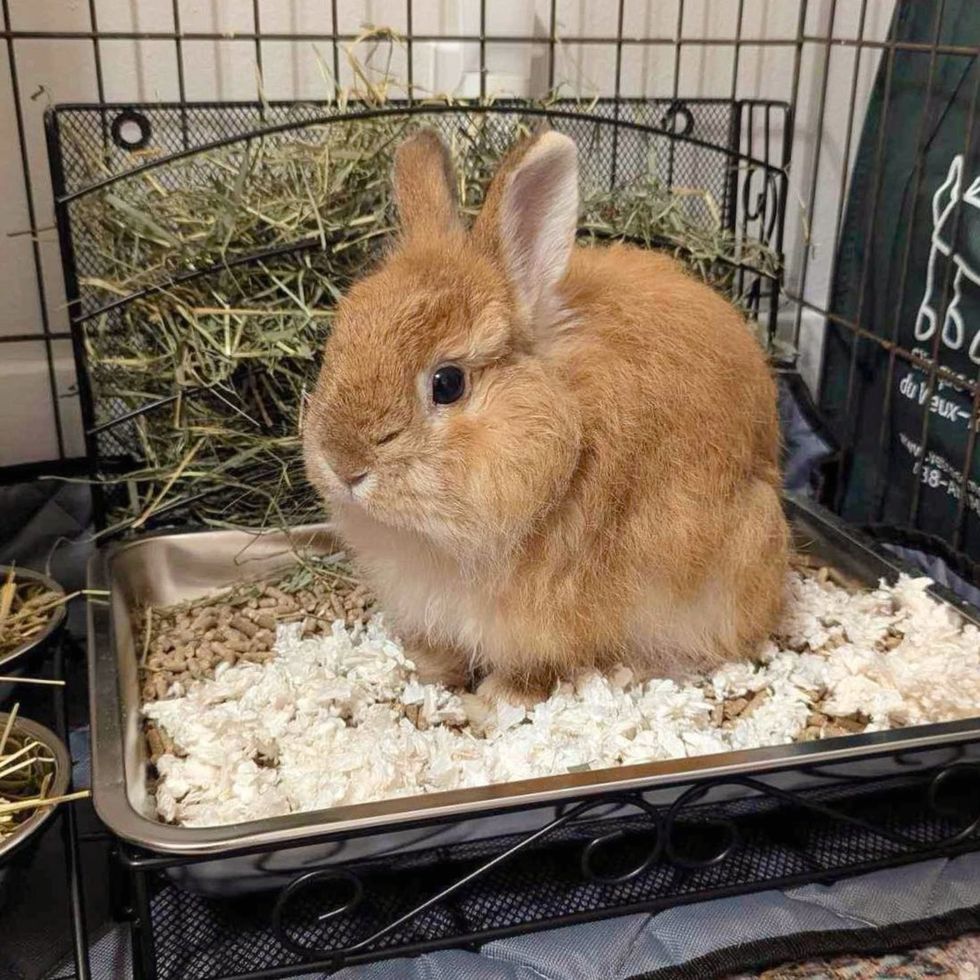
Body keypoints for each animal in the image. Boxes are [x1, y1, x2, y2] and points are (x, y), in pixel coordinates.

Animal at [303, 127, 789, 708]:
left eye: (447, 383)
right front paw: (425, 669)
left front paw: (495, 703)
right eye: (338, 342)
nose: (343, 463)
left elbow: (537, 667)